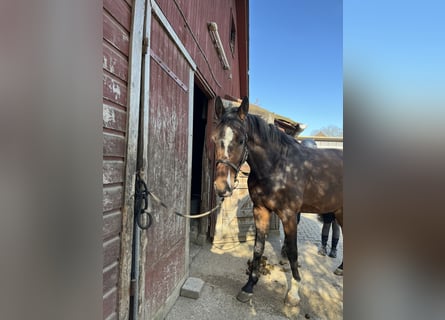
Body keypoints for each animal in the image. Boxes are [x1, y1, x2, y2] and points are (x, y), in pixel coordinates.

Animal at [212, 96, 344, 306]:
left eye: (241, 140)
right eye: (214, 139)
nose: (222, 187)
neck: (278, 166)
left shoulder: (289, 216)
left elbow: (292, 251)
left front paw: (294, 292)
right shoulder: (260, 210)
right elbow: (258, 248)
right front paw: (249, 286)